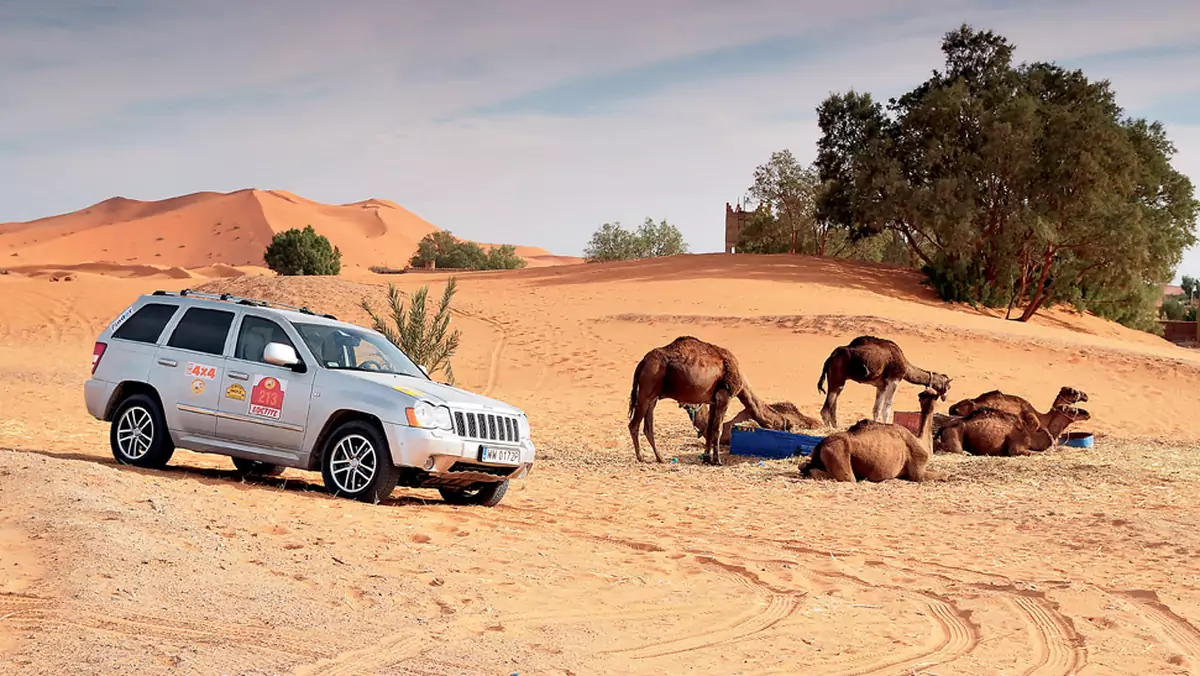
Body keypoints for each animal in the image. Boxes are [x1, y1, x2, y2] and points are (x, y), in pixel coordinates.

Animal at [628, 333, 787, 465]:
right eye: (782, 425)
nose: (786, 431)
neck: (742, 384)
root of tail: (643, 361)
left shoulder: (712, 401)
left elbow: (710, 429)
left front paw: (706, 458)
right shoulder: (724, 395)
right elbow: (718, 428)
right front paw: (717, 461)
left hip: (653, 397)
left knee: (648, 427)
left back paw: (660, 458)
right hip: (647, 388)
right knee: (633, 424)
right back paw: (641, 457)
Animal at [796, 389, 945, 485]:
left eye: (931, 395)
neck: (922, 441)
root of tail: (820, 445)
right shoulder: (918, 471)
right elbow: (943, 475)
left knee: (803, 465)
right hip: (838, 453)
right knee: (847, 477)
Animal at [820, 333, 950, 425]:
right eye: (948, 386)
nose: (945, 397)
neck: (905, 366)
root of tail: (831, 356)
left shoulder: (881, 386)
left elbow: (876, 409)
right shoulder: (894, 380)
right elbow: (887, 408)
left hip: (836, 378)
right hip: (838, 376)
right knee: (826, 409)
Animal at [931, 405, 1094, 458]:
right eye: (1072, 409)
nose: (1087, 413)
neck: (1032, 436)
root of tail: (943, 428)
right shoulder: (1017, 447)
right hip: (954, 434)